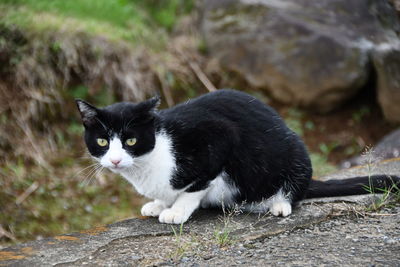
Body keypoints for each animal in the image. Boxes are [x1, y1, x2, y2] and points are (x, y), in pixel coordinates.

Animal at [76, 89, 400, 224]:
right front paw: (158, 203)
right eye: (102, 141)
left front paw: (176, 210)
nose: (115, 160)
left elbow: (197, 185)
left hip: (295, 154)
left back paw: (279, 205)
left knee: (292, 190)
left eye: (130, 140)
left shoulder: (219, 138)